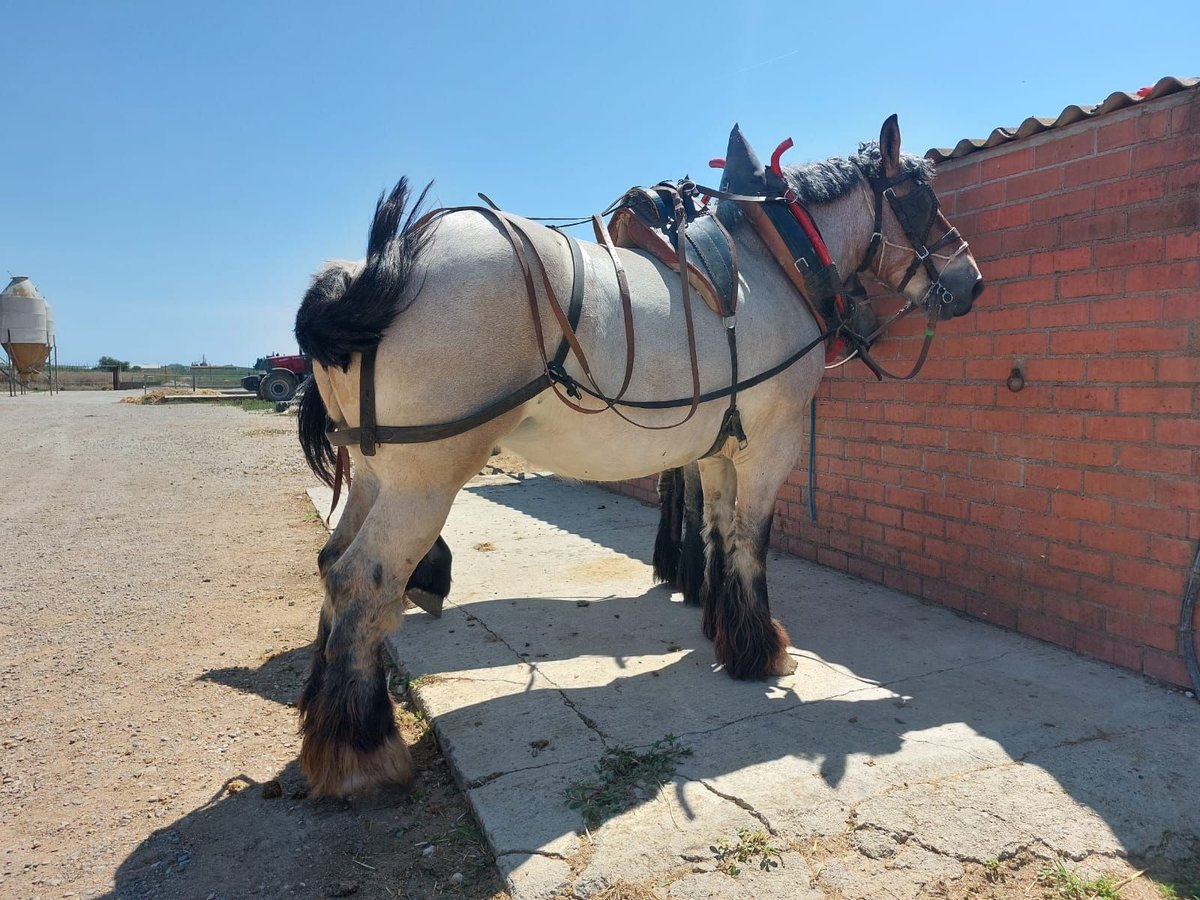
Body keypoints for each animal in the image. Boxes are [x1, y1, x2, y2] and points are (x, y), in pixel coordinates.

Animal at [290, 116, 984, 801]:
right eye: (923, 199)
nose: (971, 281)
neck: (777, 264)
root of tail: (376, 269)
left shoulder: (719, 446)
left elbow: (717, 532)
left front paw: (724, 630)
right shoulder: (772, 442)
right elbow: (751, 541)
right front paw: (762, 652)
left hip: (375, 473)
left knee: (330, 564)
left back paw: (322, 718)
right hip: (425, 480)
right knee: (361, 582)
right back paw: (362, 752)